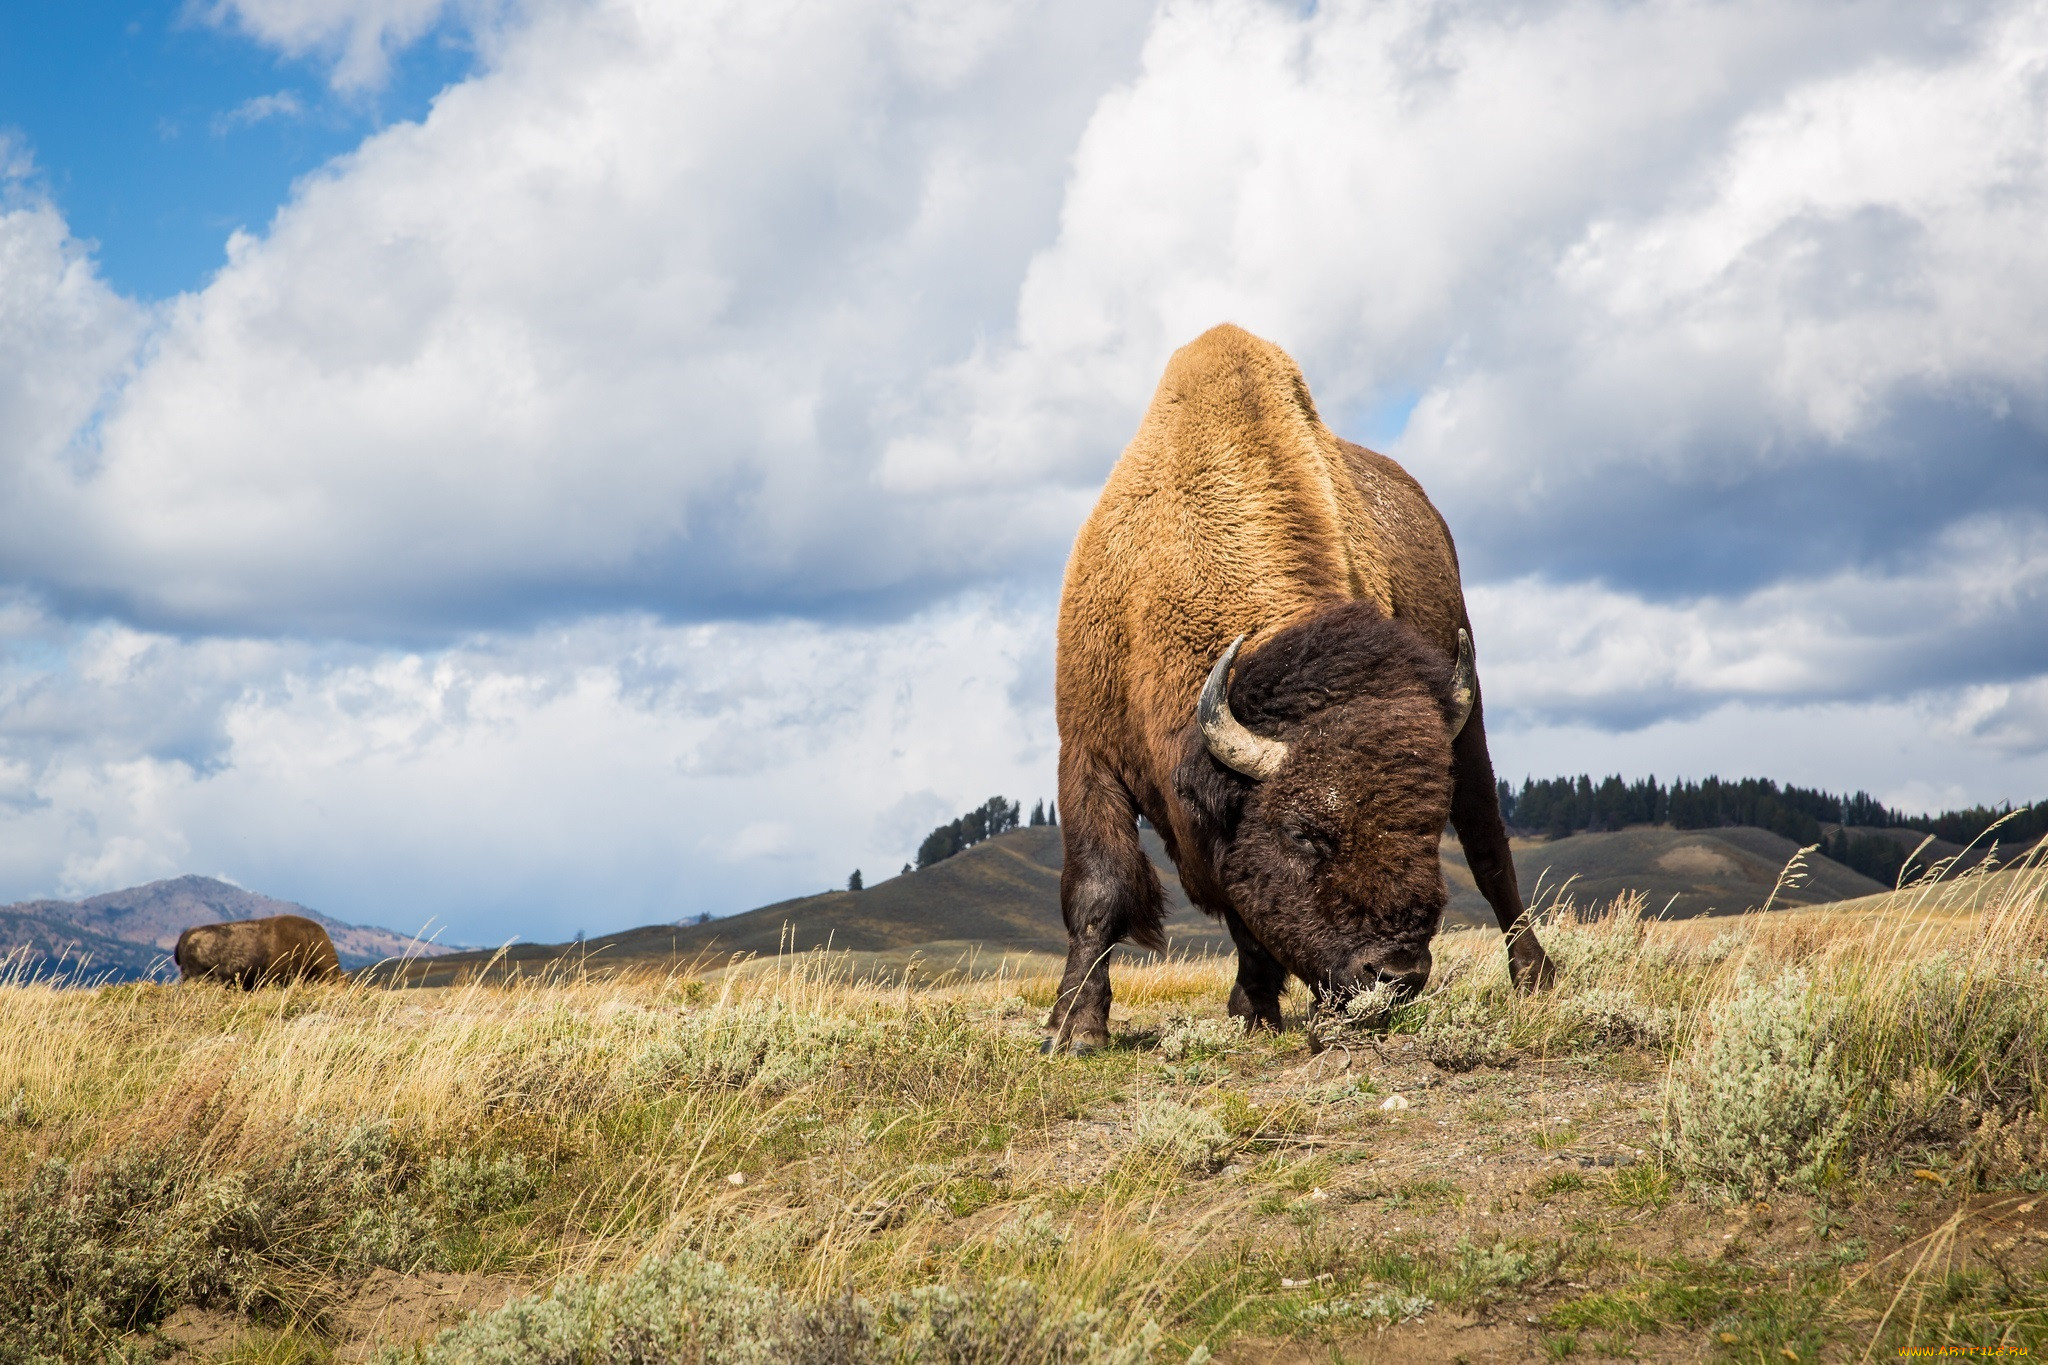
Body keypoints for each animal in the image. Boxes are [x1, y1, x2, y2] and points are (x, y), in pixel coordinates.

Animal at [1048, 325, 1556, 1055]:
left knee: (1491, 852)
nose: (1396, 974)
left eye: (1427, 831)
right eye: (1305, 833)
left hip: (1472, 721)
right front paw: (1075, 1031)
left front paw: (1254, 1008)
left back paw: (1535, 977)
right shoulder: (1088, 753)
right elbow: (1100, 891)